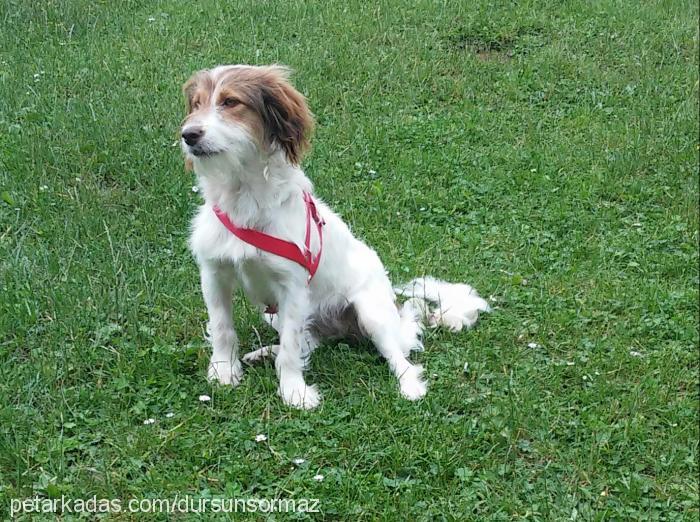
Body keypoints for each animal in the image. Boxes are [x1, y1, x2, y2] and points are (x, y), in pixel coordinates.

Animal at [178, 64, 490, 406]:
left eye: (231, 102)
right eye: (196, 104)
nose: (188, 135)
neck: (245, 198)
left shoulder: (292, 286)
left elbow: (290, 349)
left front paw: (294, 391)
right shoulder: (214, 273)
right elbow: (223, 327)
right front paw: (223, 371)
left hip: (371, 312)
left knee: (398, 356)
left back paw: (410, 386)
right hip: (275, 314)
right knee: (309, 340)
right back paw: (266, 352)